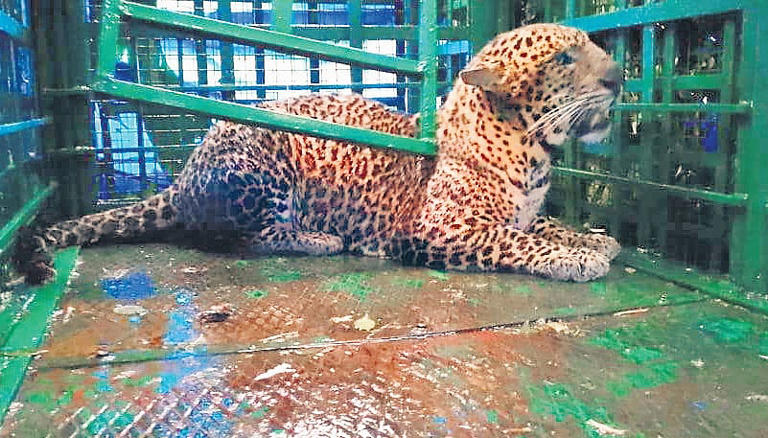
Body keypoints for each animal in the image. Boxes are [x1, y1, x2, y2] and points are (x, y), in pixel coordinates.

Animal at [14, 23, 622, 285]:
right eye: (566, 58)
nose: (619, 76)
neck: (534, 150)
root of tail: (181, 178)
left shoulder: (523, 210)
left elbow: (542, 225)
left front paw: (593, 239)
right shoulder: (438, 226)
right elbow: (513, 241)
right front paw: (576, 258)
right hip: (262, 153)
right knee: (243, 239)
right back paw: (321, 239)